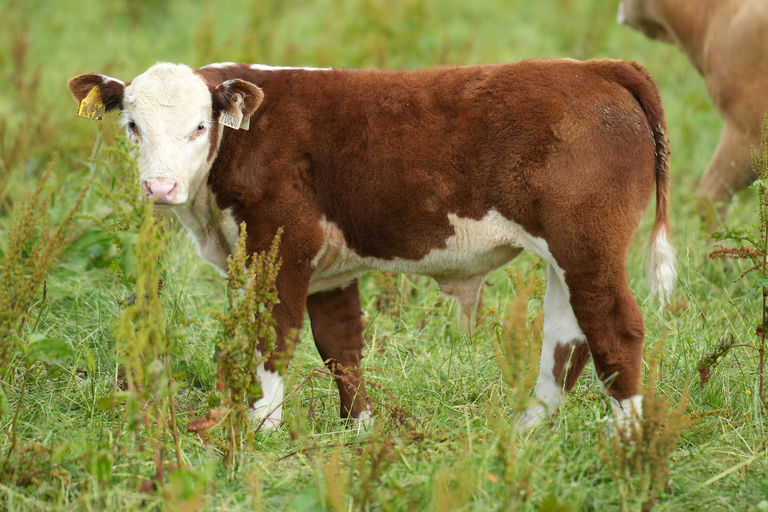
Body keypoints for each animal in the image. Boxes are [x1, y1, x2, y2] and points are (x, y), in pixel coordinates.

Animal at [68, 59, 675, 431]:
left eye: (199, 127)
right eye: (132, 126)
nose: (160, 187)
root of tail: (596, 68)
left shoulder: (280, 247)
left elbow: (273, 337)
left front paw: (262, 426)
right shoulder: (328, 271)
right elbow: (341, 346)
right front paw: (358, 428)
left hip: (588, 245)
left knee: (615, 329)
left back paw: (627, 442)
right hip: (564, 255)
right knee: (566, 338)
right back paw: (526, 430)